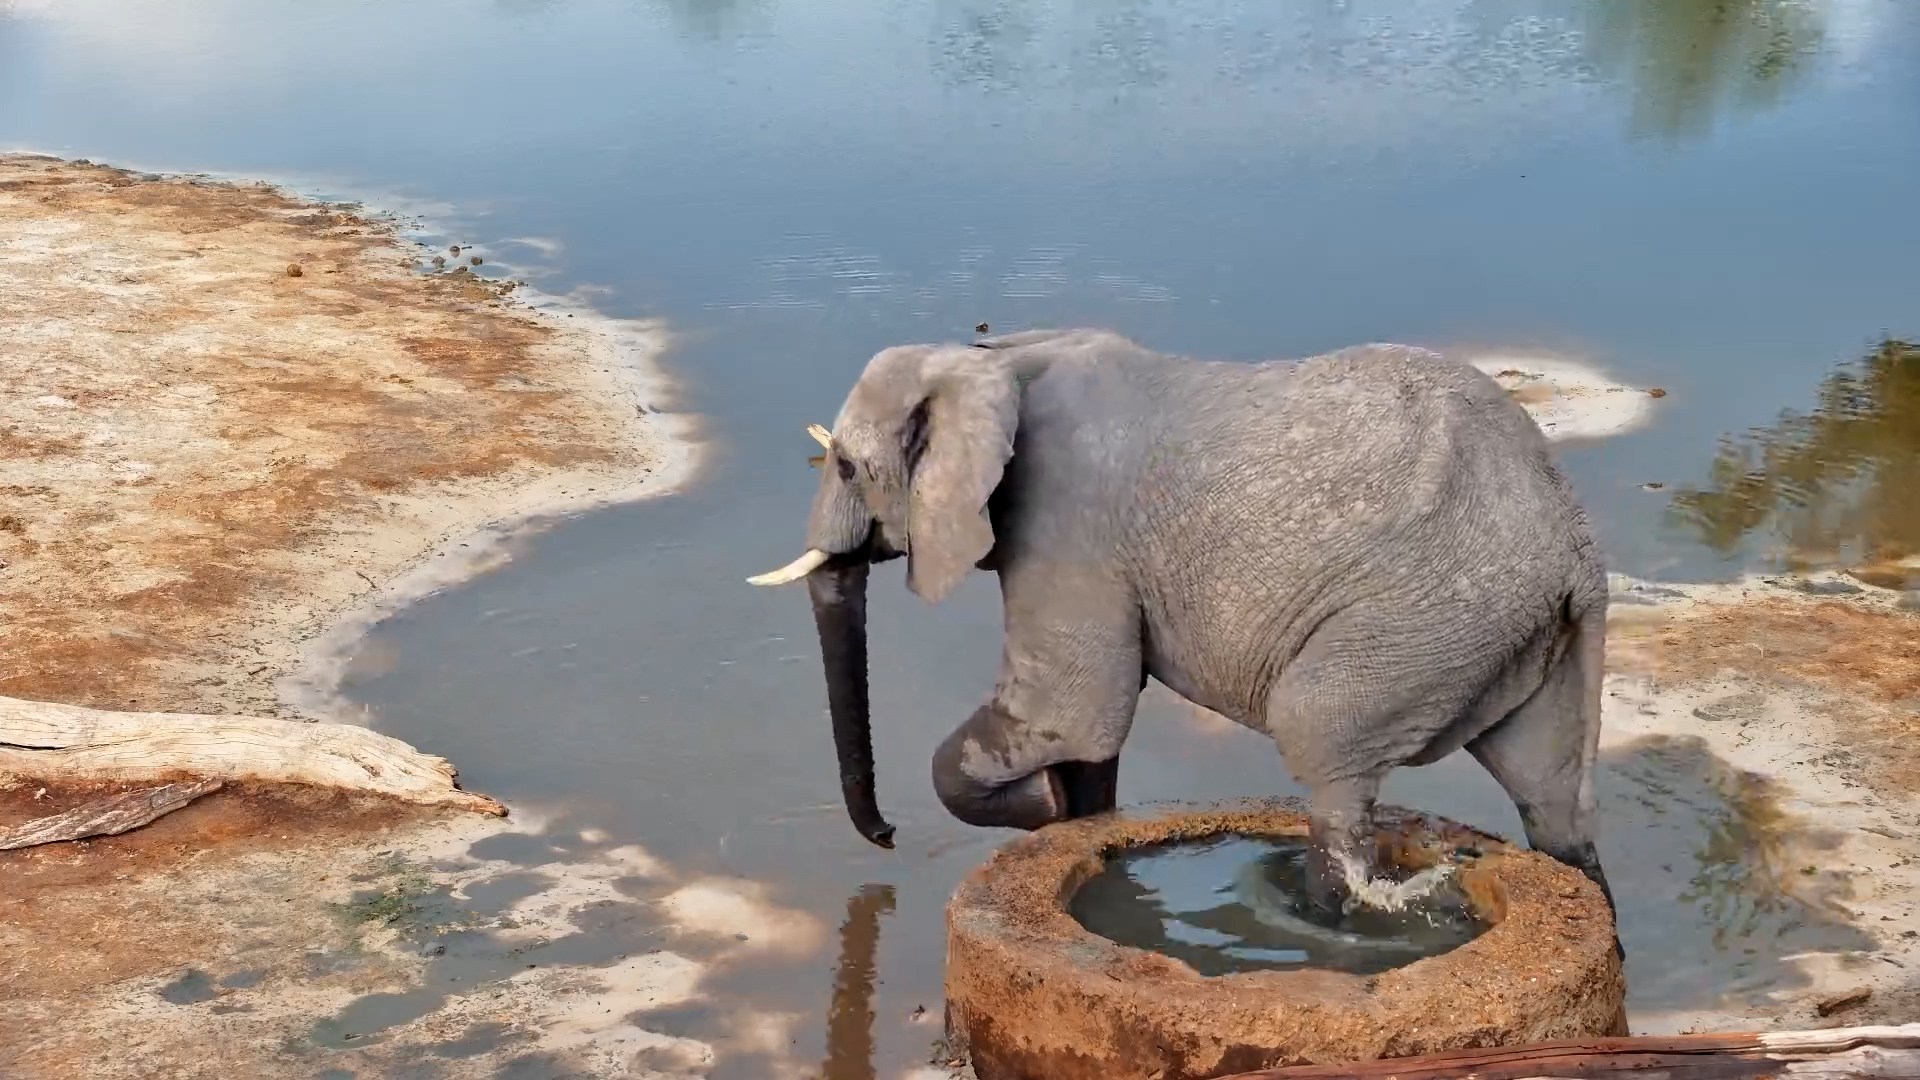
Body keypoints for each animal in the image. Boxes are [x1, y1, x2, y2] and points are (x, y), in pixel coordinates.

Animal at [749, 328, 1617, 928]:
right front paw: (1076, 822)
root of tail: (1574, 543)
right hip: (1521, 632)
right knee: (1549, 796)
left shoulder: (1067, 524)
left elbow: (1070, 715)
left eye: (846, 467)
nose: (888, 836)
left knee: (1325, 748)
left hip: (1422, 617)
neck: (991, 356)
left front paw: (1041, 808)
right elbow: (1091, 737)